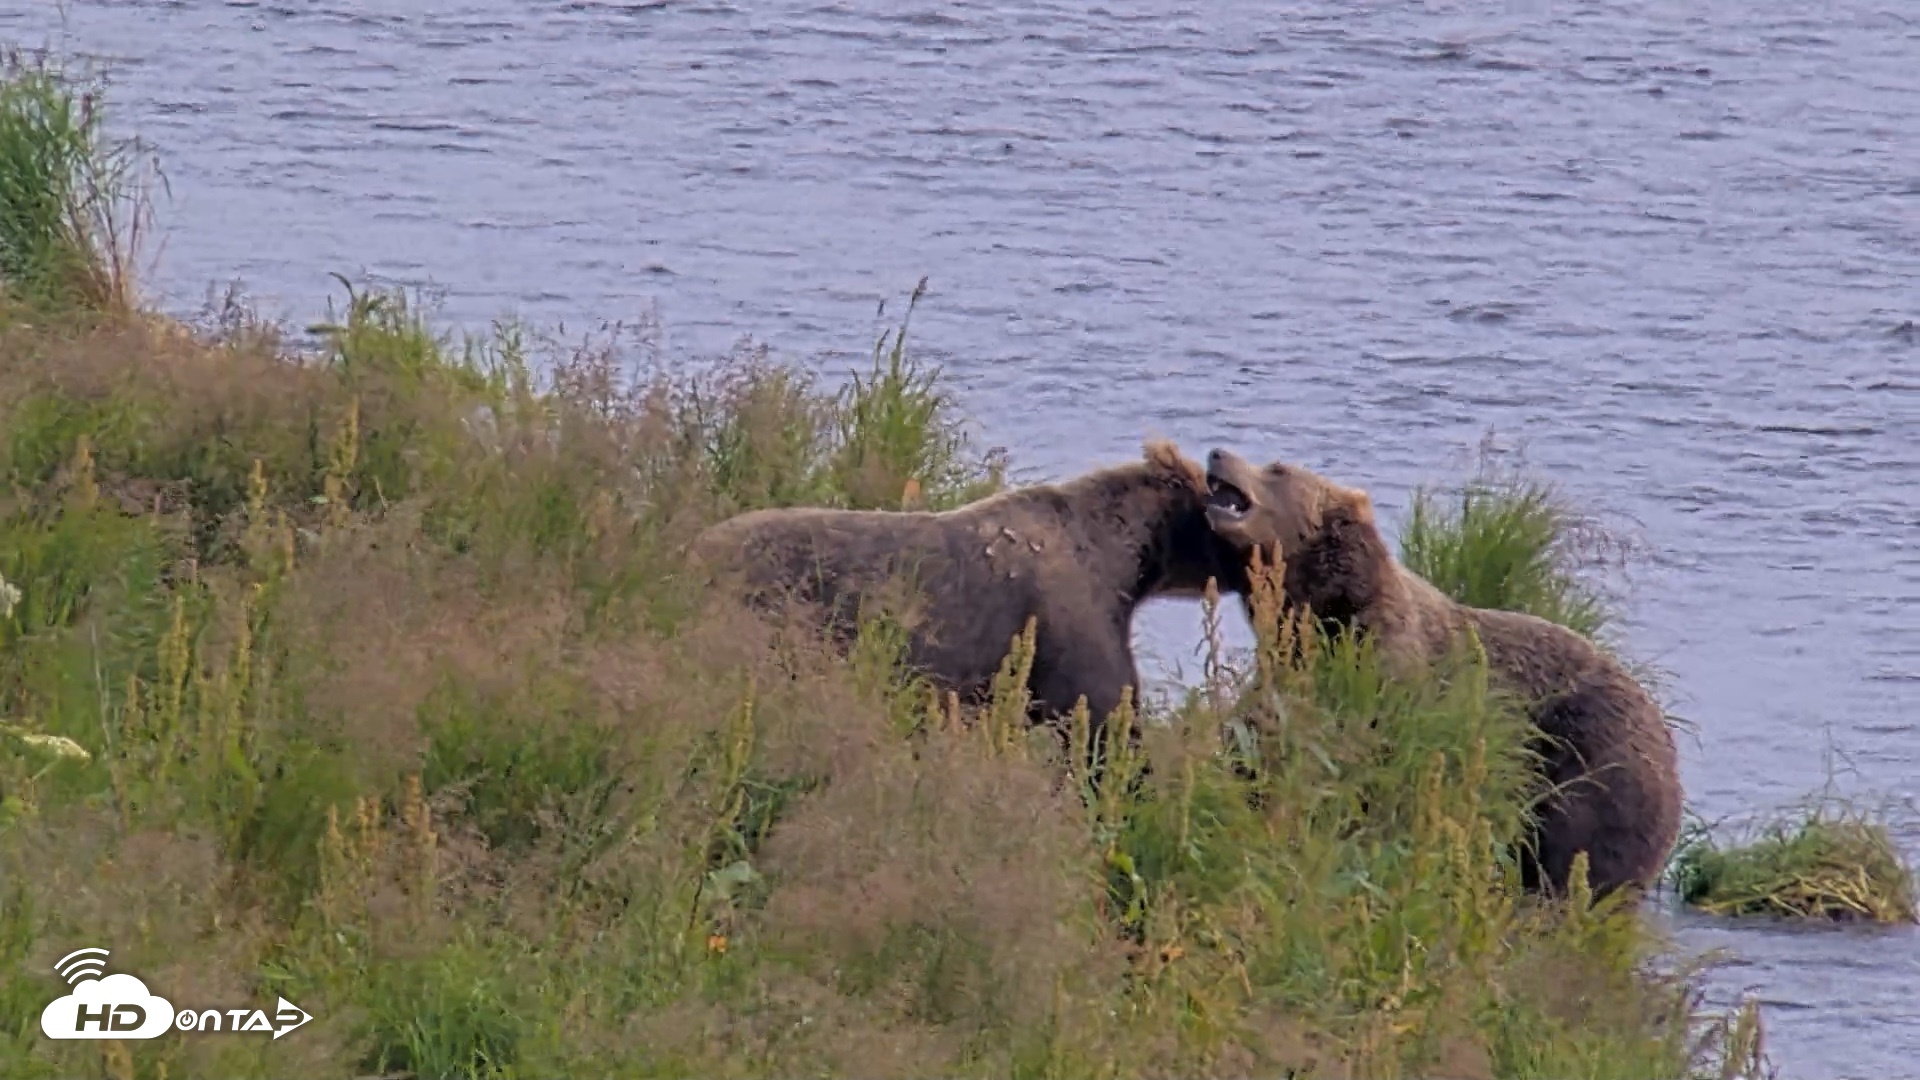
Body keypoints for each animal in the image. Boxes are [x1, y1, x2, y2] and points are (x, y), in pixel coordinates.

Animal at [1199, 446, 1683, 902]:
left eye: (1277, 468)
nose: (1218, 453)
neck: (1329, 610)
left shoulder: (1391, 669)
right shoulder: (1290, 666)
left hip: (1594, 766)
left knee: (1581, 854)